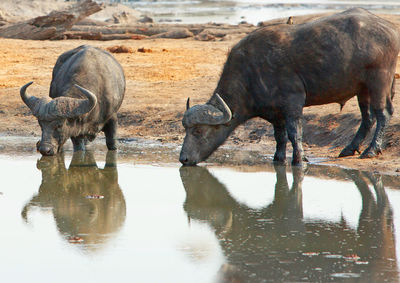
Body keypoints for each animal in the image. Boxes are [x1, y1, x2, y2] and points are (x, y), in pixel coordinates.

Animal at [180, 8, 400, 166]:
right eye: (186, 129)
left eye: (198, 131)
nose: (183, 159)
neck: (251, 71)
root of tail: (389, 28)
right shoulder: (274, 113)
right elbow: (280, 136)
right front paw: (278, 158)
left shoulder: (293, 102)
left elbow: (295, 133)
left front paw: (299, 159)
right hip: (362, 89)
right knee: (367, 118)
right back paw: (349, 149)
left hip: (379, 81)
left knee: (383, 114)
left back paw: (371, 150)